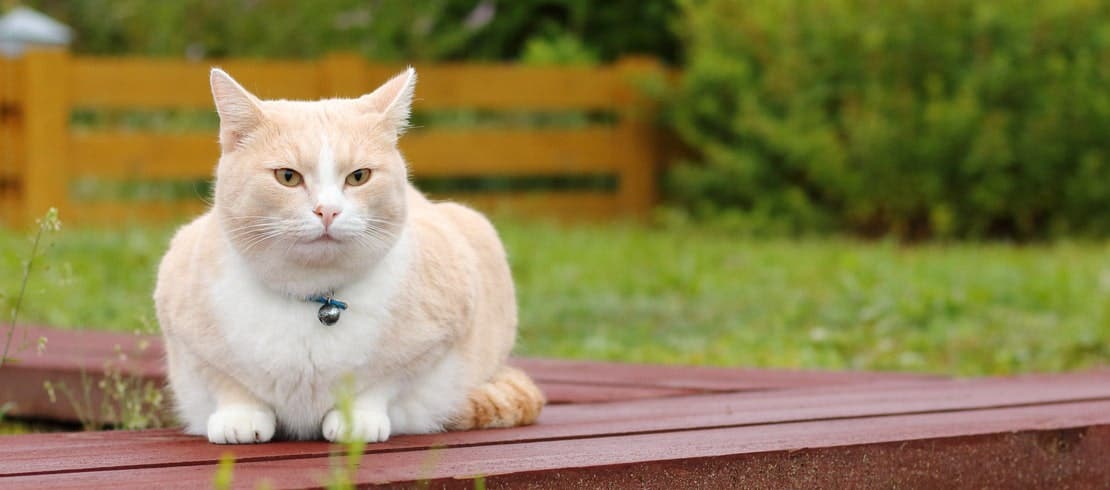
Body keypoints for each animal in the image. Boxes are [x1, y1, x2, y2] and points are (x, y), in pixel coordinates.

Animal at [152, 65, 541, 442]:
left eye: (358, 177)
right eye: (288, 177)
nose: (328, 211)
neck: (315, 298)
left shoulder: (437, 332)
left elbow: (382, 383)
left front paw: (357, 420)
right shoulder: (185, 324)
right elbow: (228, 382)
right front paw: (240, 418)